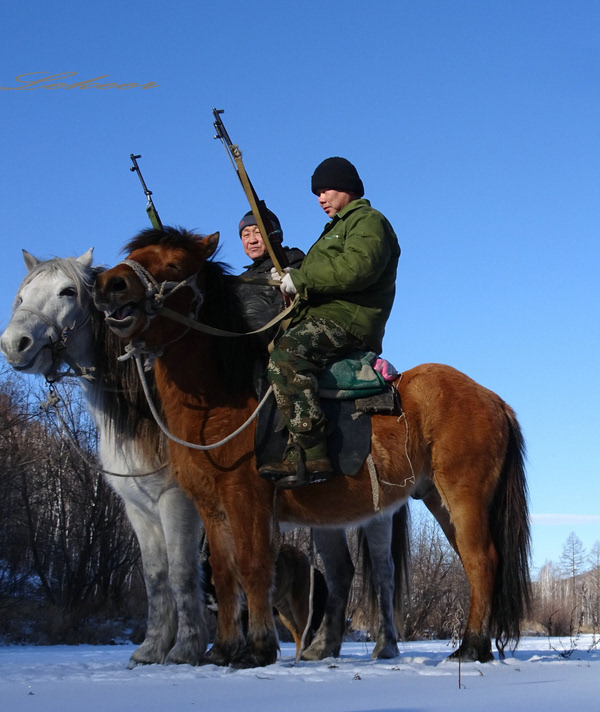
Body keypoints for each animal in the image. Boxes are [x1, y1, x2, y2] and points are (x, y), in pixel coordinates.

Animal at [0, 249, 410, 660]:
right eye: (22, 294)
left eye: (67, 291)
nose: (14, 344)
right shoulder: (139, 508)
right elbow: (155, 577)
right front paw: (152, 649)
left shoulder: (178, 501)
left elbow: (183, 573)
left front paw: (187, 647)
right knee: (341, 572)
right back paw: (324, 648)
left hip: (375, 514)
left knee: (384, 574)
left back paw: (385, 645)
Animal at [94, 227, 528, 668]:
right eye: (136, 254)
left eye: (173, 263)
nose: (109, 285)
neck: (222, 398)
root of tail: (493, 399)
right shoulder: (209, 504)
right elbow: (224, 572)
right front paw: (224, 648)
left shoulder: (245, 497)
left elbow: (253, 566)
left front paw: (257, 648)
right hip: (437, 499)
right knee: (470, 563)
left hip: (463, 496)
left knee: (480, 560)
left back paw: (470, 647)